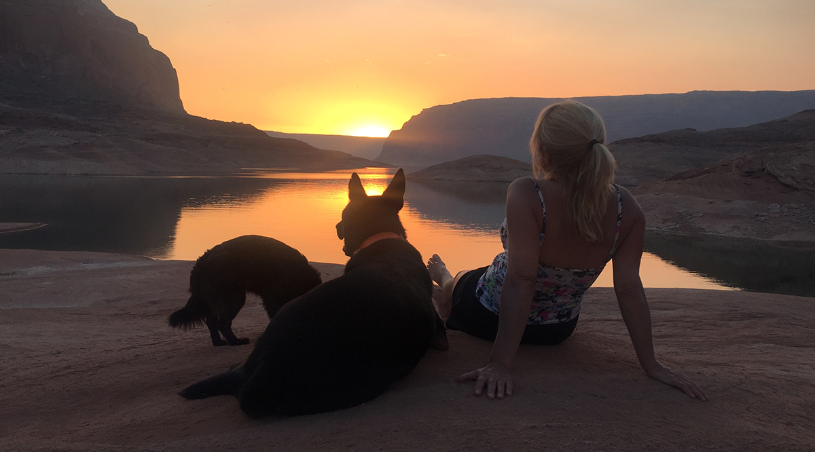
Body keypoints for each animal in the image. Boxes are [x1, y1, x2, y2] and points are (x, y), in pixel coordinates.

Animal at [168, 237, 322, 346]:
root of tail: (201, 262)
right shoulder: (272, 298)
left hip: (215, 299)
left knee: (211, 321)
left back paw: (218, 342)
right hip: (234, 299)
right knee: (222, 323)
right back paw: (235, 342)